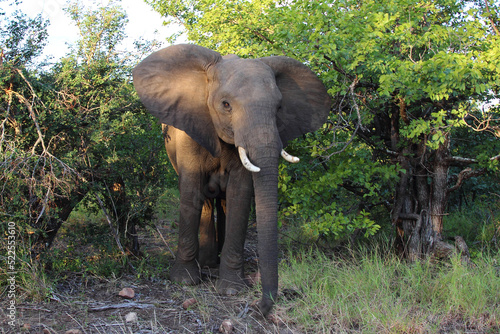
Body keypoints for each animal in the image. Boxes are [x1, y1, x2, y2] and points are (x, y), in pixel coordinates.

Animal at [132, 43, 332, 314]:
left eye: (279, 108)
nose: (261, 306)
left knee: (225, 203)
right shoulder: (189, 131)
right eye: (226, 104)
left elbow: (240, 196)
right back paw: (207, 264)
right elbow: (191, 193)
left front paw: (231, 289)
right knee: (205, 201)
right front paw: (184, 281)